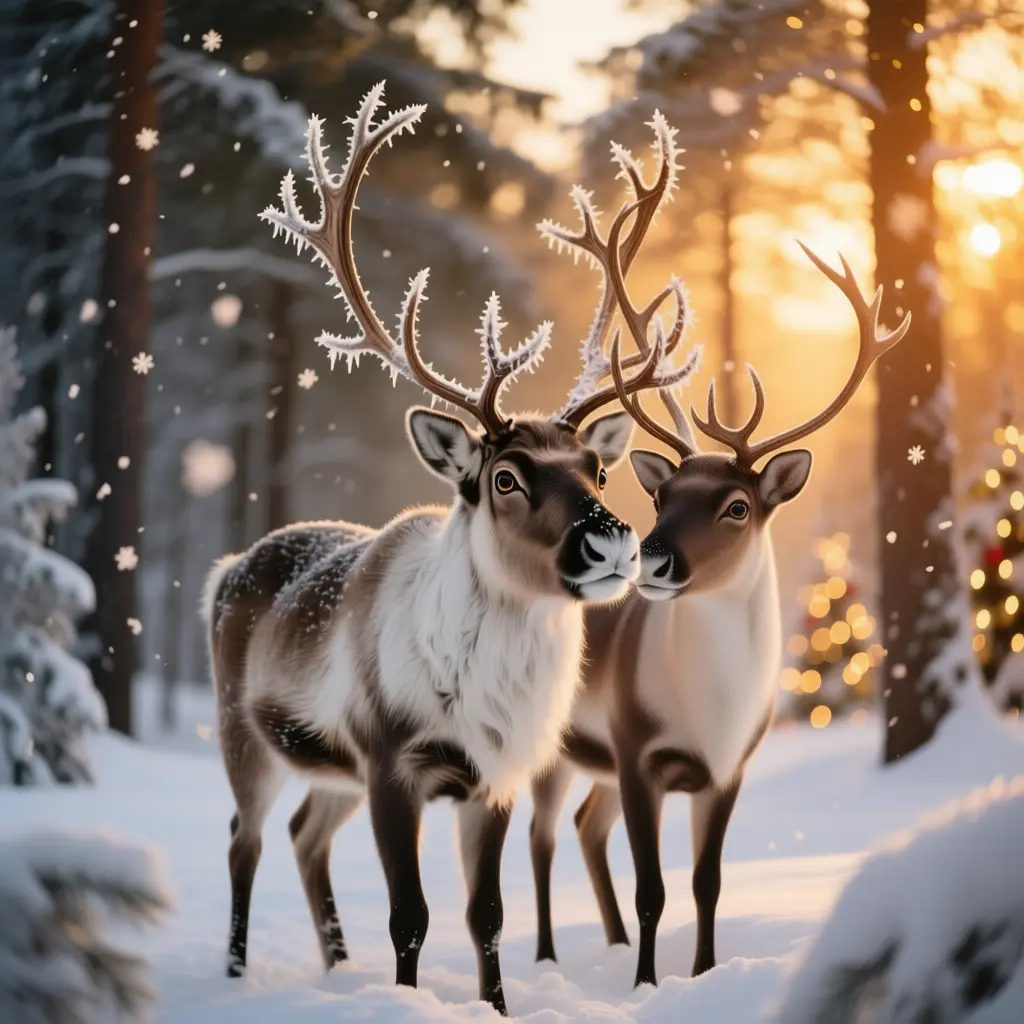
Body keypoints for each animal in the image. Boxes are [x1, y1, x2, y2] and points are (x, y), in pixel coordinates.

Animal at [201, 82, 700, 1016]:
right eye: (504, 475)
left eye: (595, 468)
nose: (611, 538)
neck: (482, 693)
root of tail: (224, 570)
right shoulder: (391, 759)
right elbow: (412, 916)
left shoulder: (491, 777)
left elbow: (485, 915)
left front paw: (495, 1005)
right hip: (244, 734)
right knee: (244, 839)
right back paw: (238, 972)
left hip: (331, 773)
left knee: (304, 833)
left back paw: (336, 968)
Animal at [529, 245, 911, 991]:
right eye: (662, 496)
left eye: (737, 506)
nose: (651, 557)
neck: (709, 712)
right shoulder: (637, 750)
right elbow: (653, 887)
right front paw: (647, 985)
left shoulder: (728, 768)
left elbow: (707, 883)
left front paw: (701, 973)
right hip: (553, 747)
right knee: (542, 837)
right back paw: (549, 958)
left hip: (597, 765)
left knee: (586, 826)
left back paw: (611, 946)